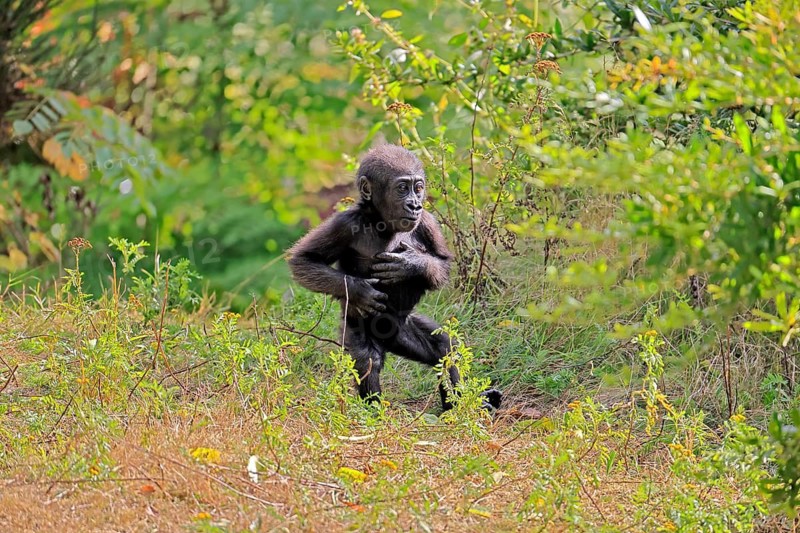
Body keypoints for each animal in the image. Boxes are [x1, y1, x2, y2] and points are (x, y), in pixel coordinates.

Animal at [287, 144, 502, 412]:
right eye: (402, 188)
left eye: (418, 188)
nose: (414, 205)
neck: (382, 221)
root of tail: (391, 340)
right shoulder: (344, 224)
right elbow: (304, 260)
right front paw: (360, 292)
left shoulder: (428, 221)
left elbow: (442, 264)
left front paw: (412, 264)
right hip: (359, 329)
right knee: (368, 360)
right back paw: (375, 414)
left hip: (404, 330)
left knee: (443, 346)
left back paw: (457, 405)